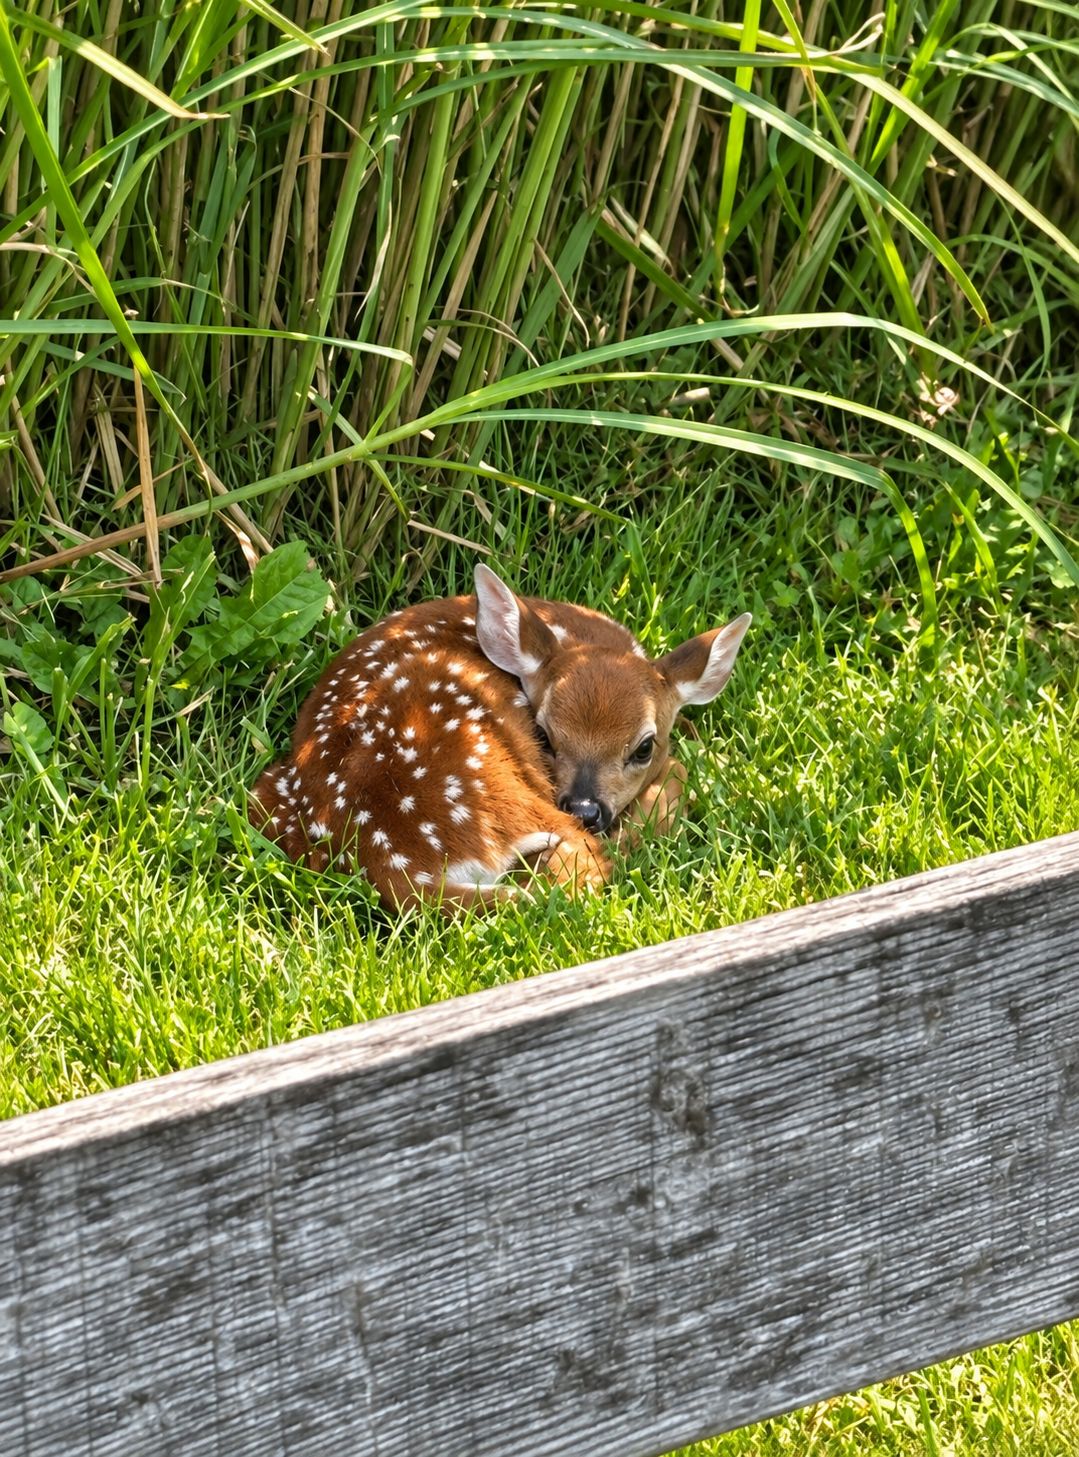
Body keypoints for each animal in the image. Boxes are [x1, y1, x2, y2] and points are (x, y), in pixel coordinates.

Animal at [249, 565, 751, 913]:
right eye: (543, 734)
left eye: (643, 746)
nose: (586, 808)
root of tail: (391, 866)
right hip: (491, 781)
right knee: (586, 865)